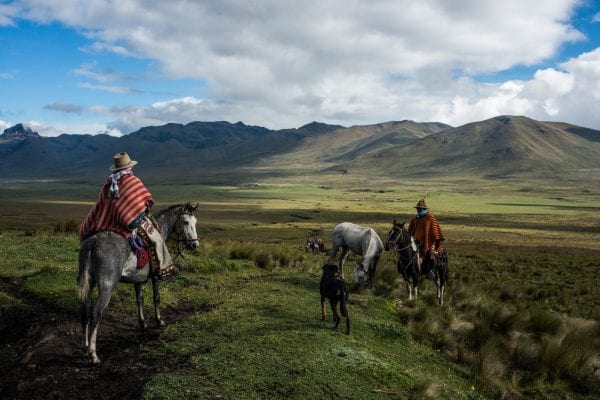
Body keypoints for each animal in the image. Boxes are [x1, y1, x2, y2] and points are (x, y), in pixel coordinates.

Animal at [76, 203, 199, 362]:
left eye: (195, 222)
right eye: (185, 222)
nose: (194, 245)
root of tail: (94, 241)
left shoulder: (137, 280)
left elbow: (139, 299)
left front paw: (142, 323)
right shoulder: (155, 277)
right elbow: (156, 297)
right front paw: (159, 321)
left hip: (89, 284)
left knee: (85, 311)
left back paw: (85, 348)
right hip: (106, 287)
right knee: (96, 314)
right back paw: (93, 354)